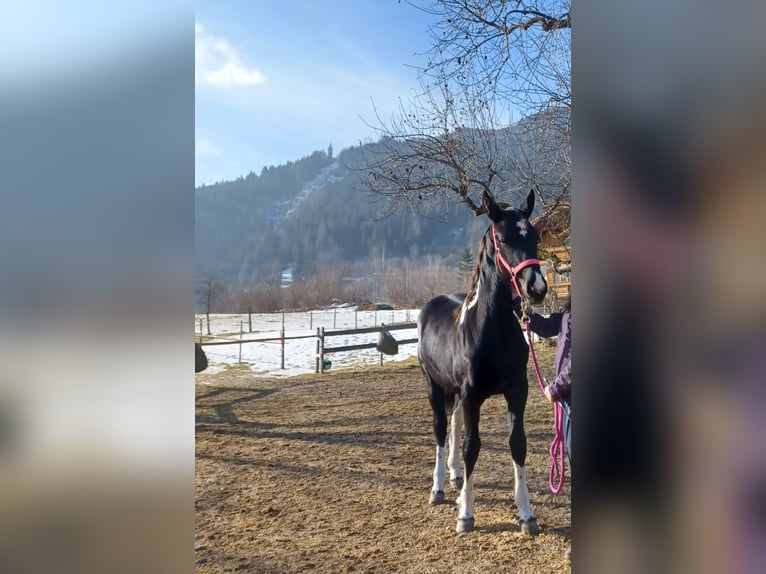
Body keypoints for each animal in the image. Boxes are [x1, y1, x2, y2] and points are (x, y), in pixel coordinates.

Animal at [416, 189, 548, 536]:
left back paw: (455, 476)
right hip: (434, 387)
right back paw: (438, 488)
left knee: (454, 423)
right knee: (440, 429)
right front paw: (465, 514)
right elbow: (471, 446)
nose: (536, 289)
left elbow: (517, 443)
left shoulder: (517, 390)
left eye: (535, 236)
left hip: (457, 393)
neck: (490, 328)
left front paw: (527, 515)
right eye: (501, 239)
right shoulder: (472, 393)